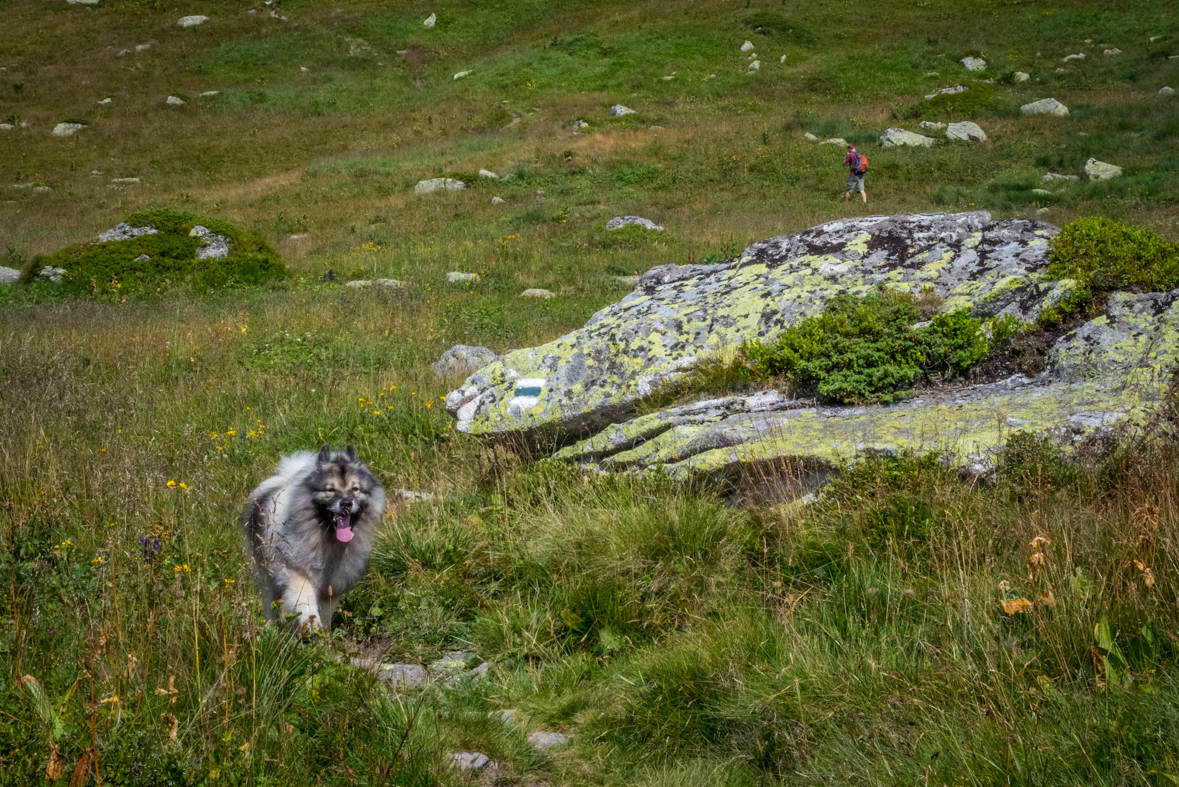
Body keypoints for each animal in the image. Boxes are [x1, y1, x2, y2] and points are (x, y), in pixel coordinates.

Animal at [242, 445, 386, 631]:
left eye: (355, 489)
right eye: (330, 489)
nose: (346, 504)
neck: (329, 539)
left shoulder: (332, 587)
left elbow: (325, 612)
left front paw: (322, 633)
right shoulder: (295, 571)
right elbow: (306, 599)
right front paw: (312, 624)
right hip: (266, 574)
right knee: (270, 603)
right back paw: (271, 628)